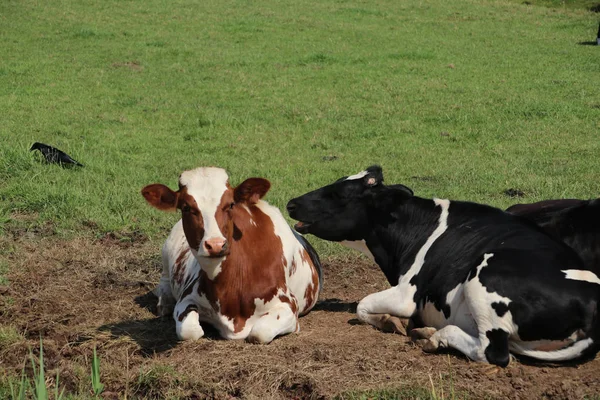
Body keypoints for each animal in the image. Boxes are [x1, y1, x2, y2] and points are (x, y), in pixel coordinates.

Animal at [141, 167, 322, 342]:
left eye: (230, 204)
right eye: (186, 208)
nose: (215, 244)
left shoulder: (289, 306)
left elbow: (260, 332)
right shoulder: (187, 298)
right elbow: (189, 331)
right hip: (166, 253)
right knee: (164, 282)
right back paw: (164, 303)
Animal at [286, 165, 600, 366]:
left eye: (339, 194)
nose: (291, 203)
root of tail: (590, 304)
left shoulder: (407, 295)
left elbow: (363, 305)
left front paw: (391, 321)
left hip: (487, 275)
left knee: (493, 353)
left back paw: (434, 337)